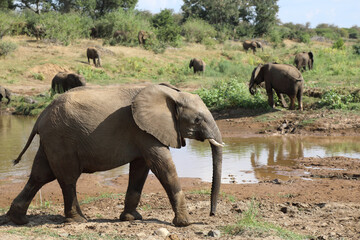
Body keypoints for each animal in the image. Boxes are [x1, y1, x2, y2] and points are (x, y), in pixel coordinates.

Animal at [7, 83, 224, 227]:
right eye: (197, 120)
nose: (212, 215)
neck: (171, 94)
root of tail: (40, 116)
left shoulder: (143, 132)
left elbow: (140, 169)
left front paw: (131, 218)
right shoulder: (143, 130)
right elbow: (163, 167)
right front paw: (184, 223)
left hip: (51, 140)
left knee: (40, 175)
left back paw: (18, 219)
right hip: (61, 138)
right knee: (67, 179)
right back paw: (78, 220)